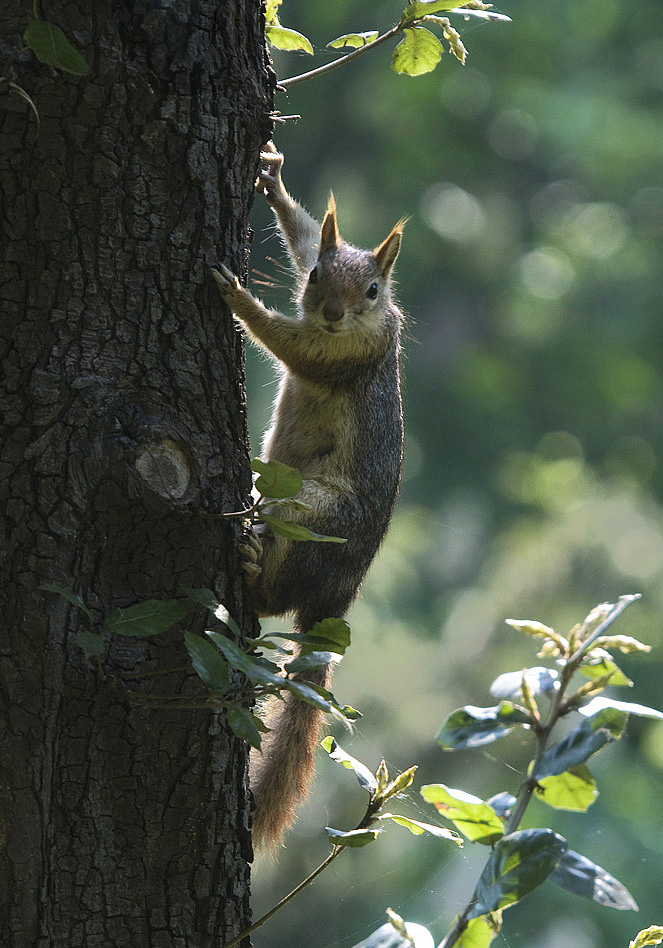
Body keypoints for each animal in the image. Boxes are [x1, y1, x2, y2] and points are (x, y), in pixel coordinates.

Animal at [213, 143, 404, 852]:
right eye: (320, 272)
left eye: (373, 289)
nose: (331, 313)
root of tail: (337, 600)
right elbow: (295, 239)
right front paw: (272, 181)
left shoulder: (348, 351)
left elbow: (292, 346)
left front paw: (240, 299)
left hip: (308, 511)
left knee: (274, 594)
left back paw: (250, 568)